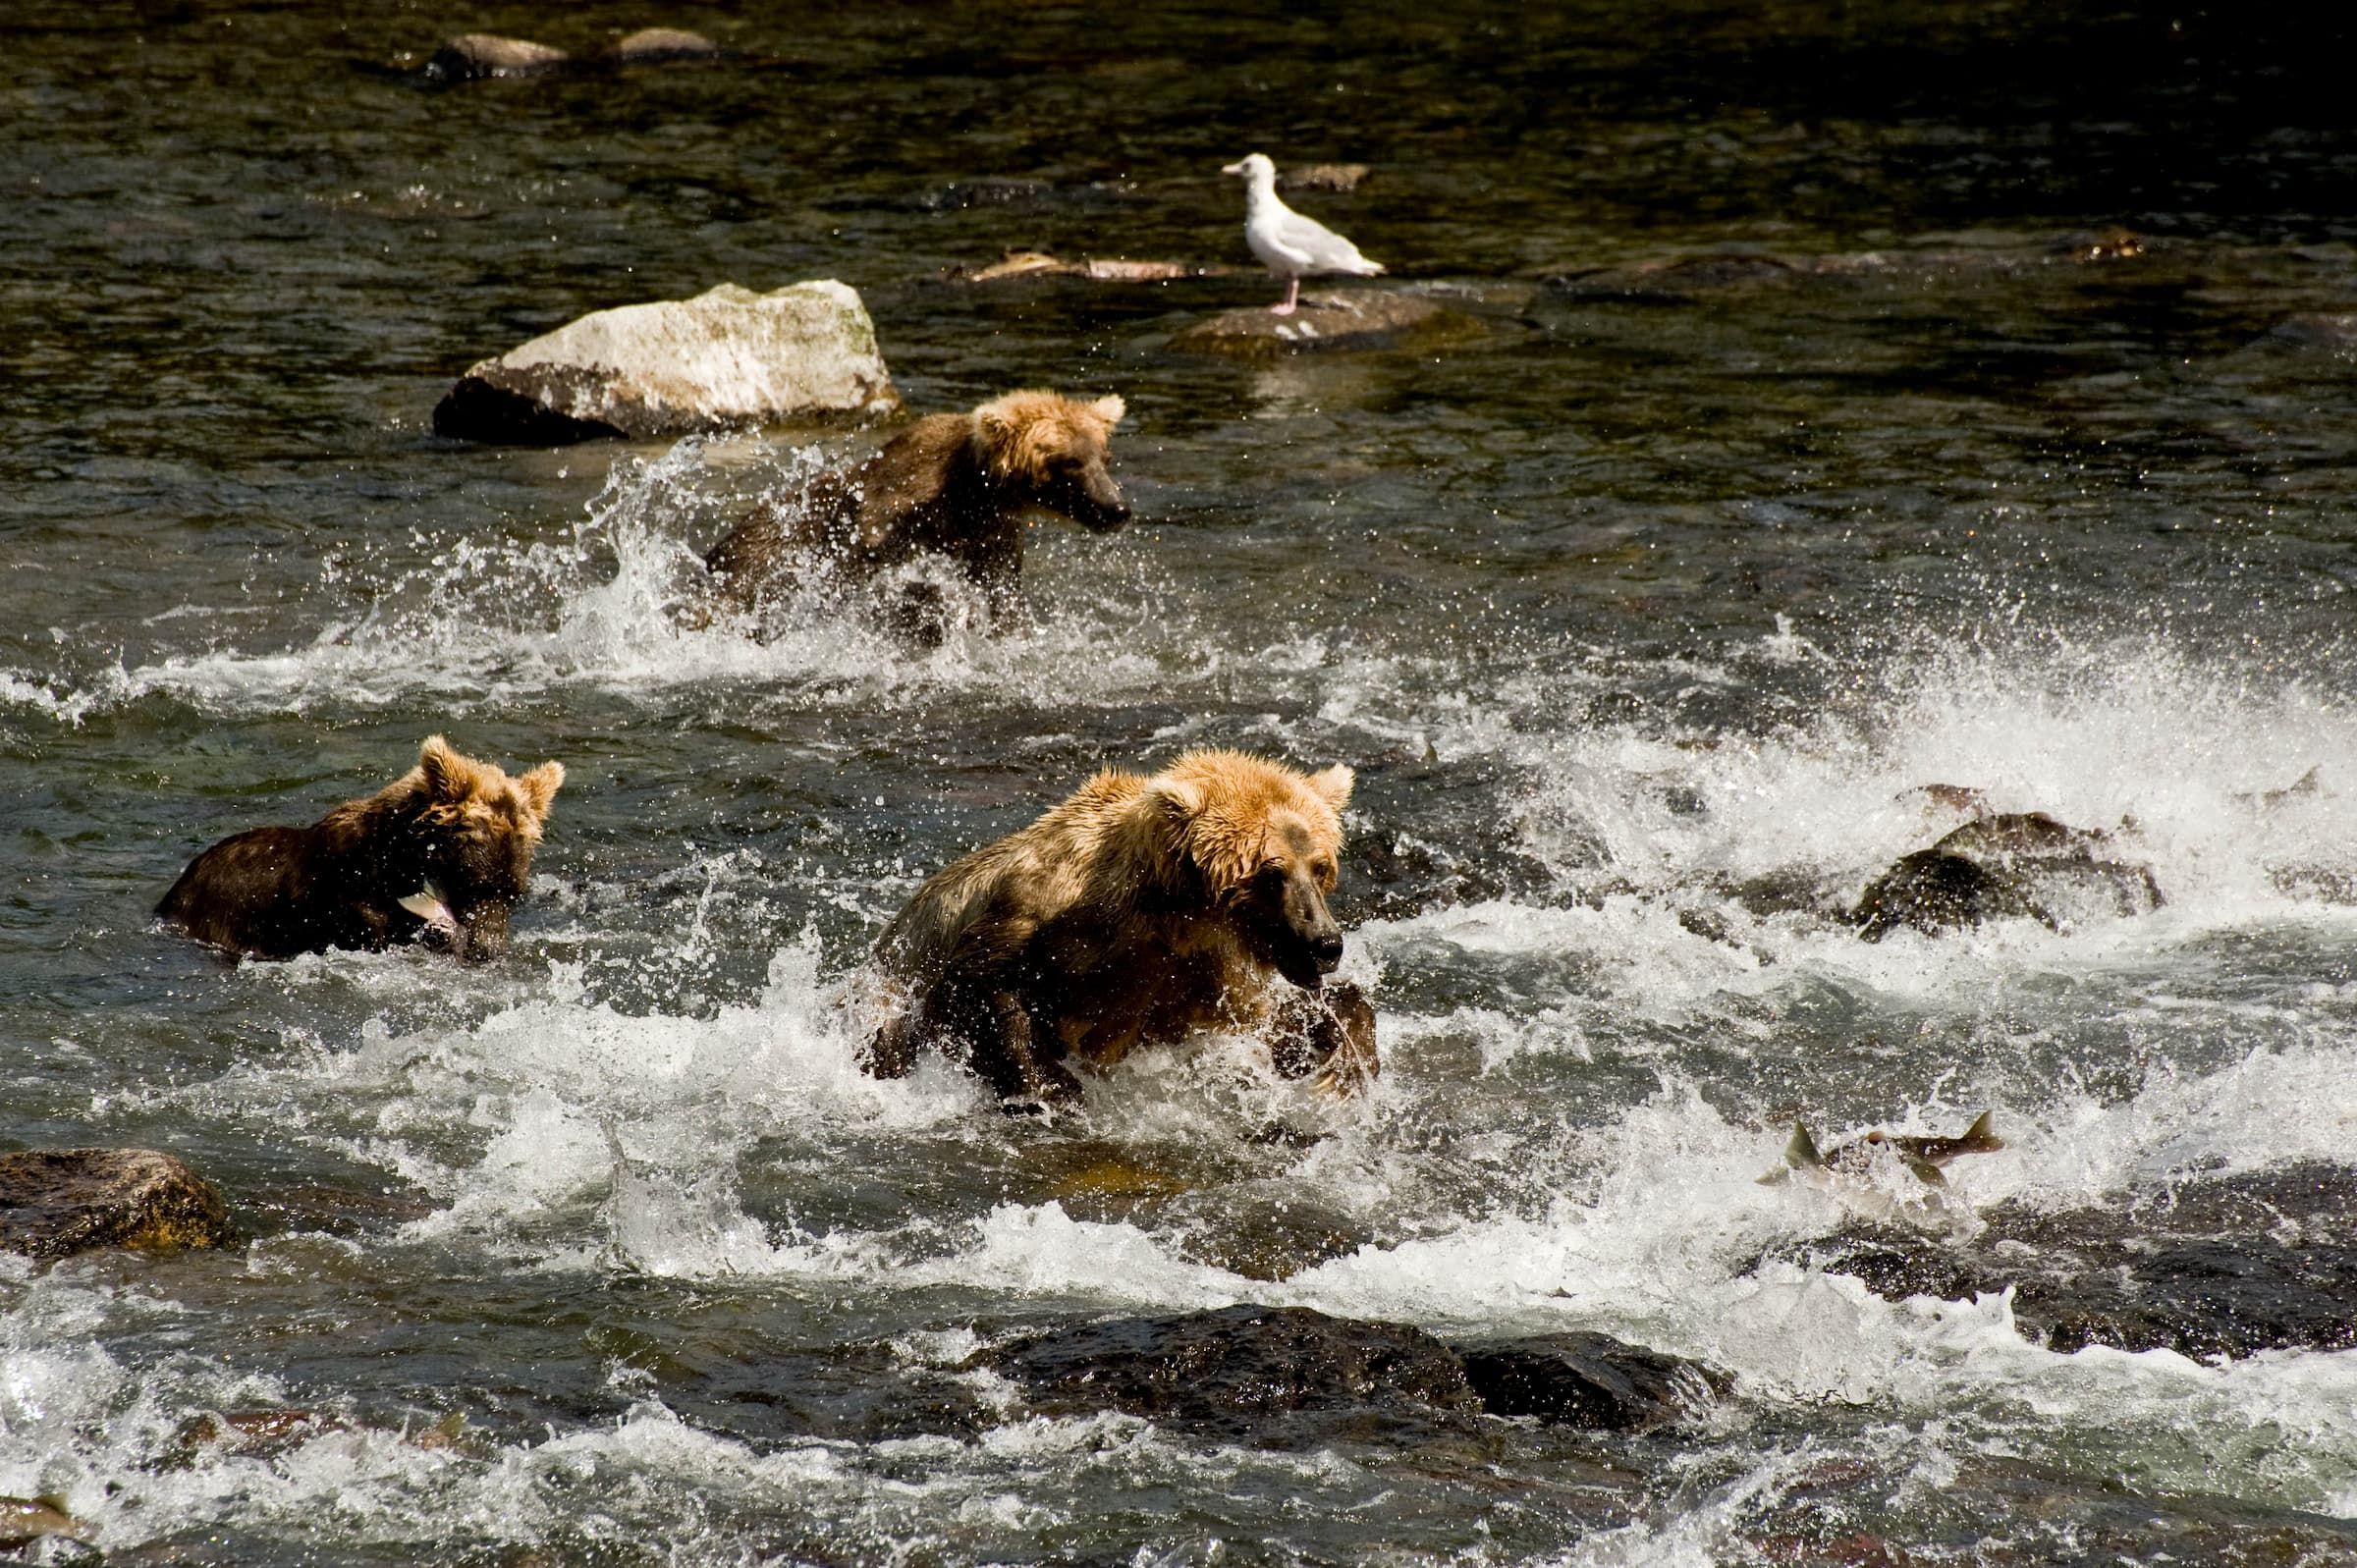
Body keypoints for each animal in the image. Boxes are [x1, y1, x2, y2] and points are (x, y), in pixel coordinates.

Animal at [702, 389, 1126, 641]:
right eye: (1069, 462)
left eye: (1104, 458)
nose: (1117, 509)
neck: (970, 494)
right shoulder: (889, 520)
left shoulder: (994, 539)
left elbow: (1004, 601)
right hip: (751, 569)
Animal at [867, 749, 1376, 1108]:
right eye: (1273, 874)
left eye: (1320, 866)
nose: (1325, 943)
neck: (1173, 914)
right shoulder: (1049, 917)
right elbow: (982, 988)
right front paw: (1054, 1089)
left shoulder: (1200, 975)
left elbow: (1269, 1023)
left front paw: (1345, 1064)